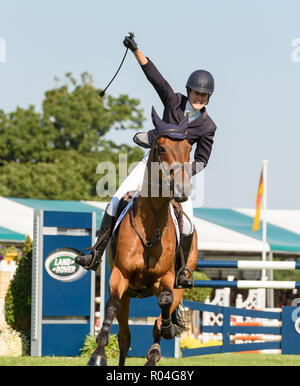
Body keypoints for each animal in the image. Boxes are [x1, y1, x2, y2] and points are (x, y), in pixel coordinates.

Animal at [88, 107, 198, 366]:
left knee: (158, 324)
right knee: (125, 337)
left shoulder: (167, 278)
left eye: (189, 148)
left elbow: (165, 301)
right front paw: (98, 354)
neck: (151, 227)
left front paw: (167, 329)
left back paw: (157, 347)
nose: (182, 190)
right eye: (162, 148)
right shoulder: (120, 276)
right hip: (128, 293)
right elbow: (111, 306)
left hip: (180, 282)